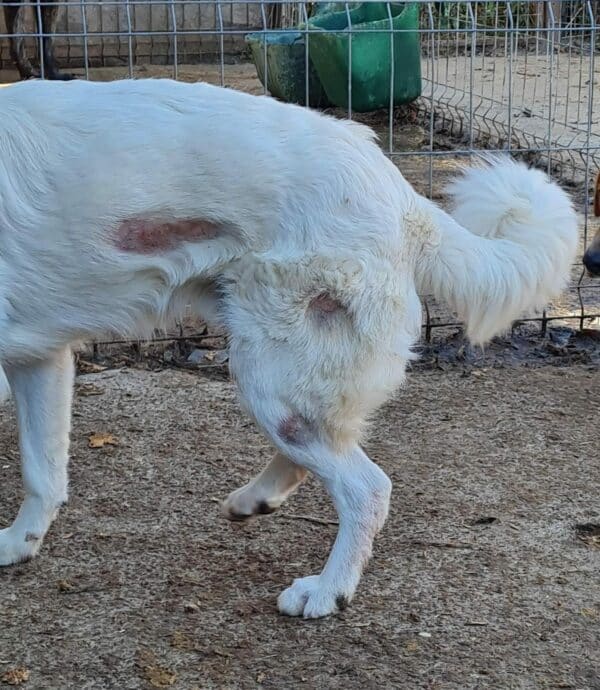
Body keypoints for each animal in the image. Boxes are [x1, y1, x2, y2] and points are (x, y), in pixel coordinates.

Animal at [0, 78, 580, 616]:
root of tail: (401, 196)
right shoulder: (37, 358)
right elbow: (42, 470)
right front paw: (20, 543)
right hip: (276, 371)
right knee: (318, 452)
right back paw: (257, 500)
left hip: (268, 370)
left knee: (367, 488)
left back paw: (327, 590)